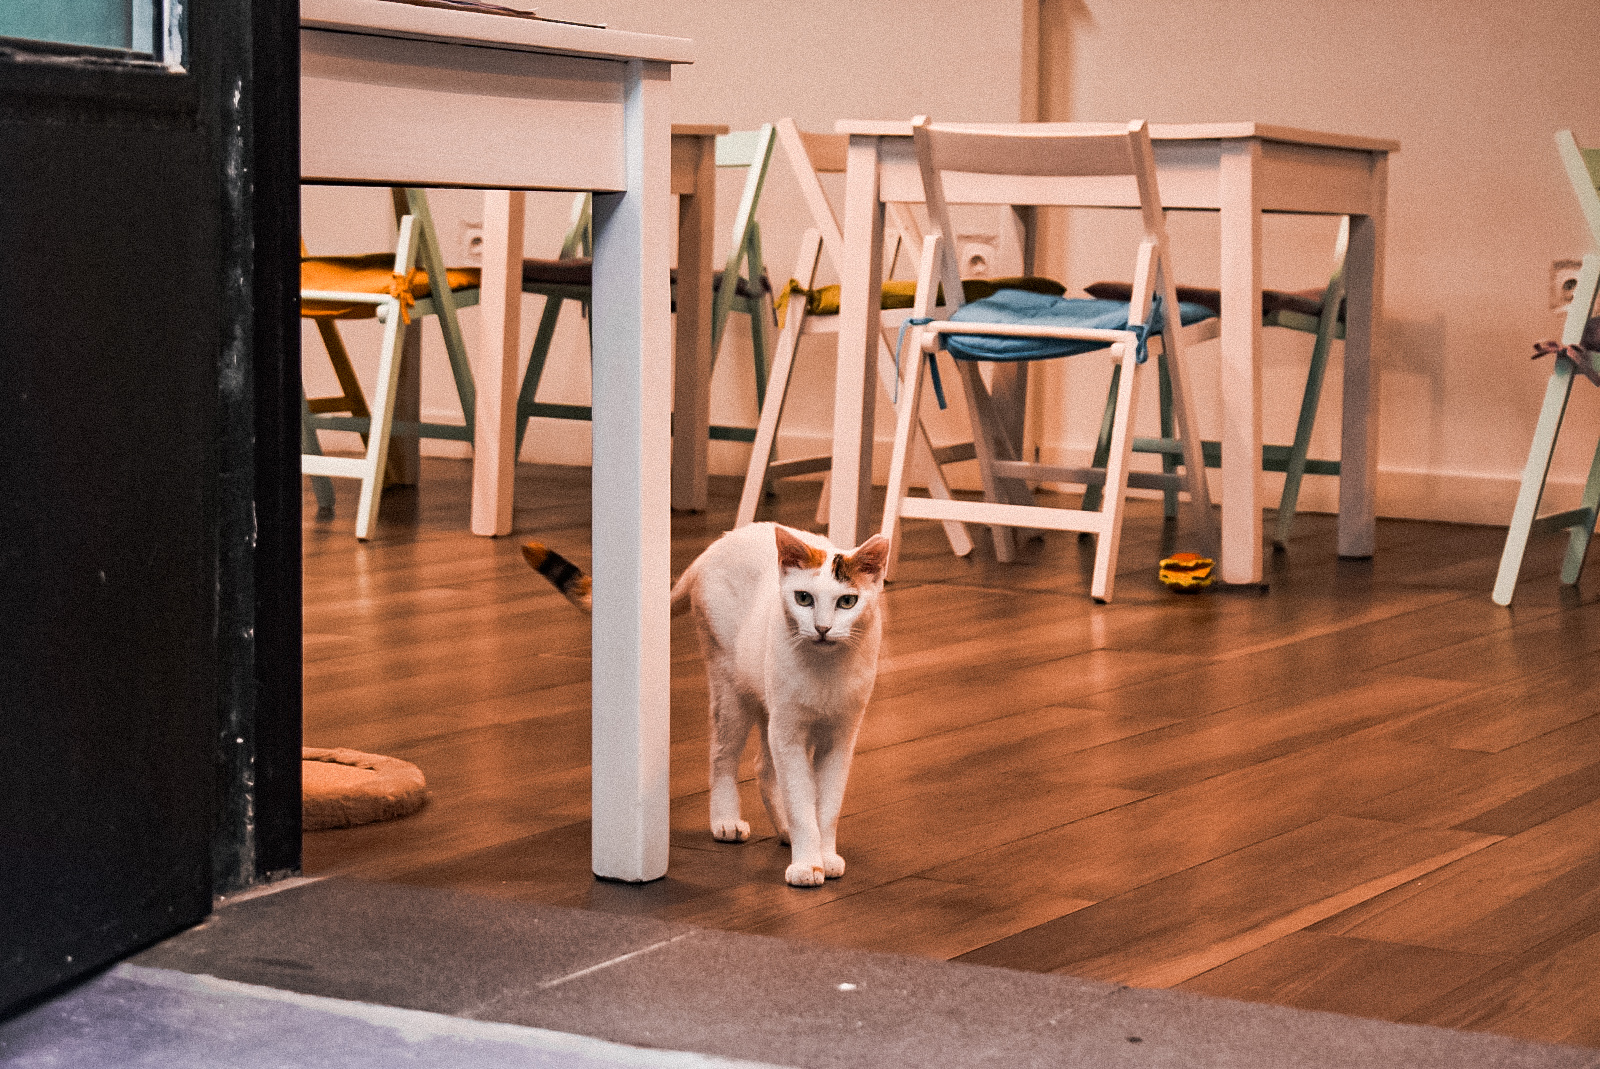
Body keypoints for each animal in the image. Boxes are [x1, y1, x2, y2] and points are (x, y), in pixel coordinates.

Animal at [671, 522, 889, 887]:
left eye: (847, 602)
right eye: (804, 598)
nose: (822, 628)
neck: (824, 670)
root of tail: (721, 542)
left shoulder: (840, 738)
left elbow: (826, 807)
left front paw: (825, 857)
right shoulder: (788, 734)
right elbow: (801, 803)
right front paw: (807, 865)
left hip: (767, 703)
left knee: (762, 766)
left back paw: (785, 830)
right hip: (731, 688)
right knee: (722, 756)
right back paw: (726, 821)